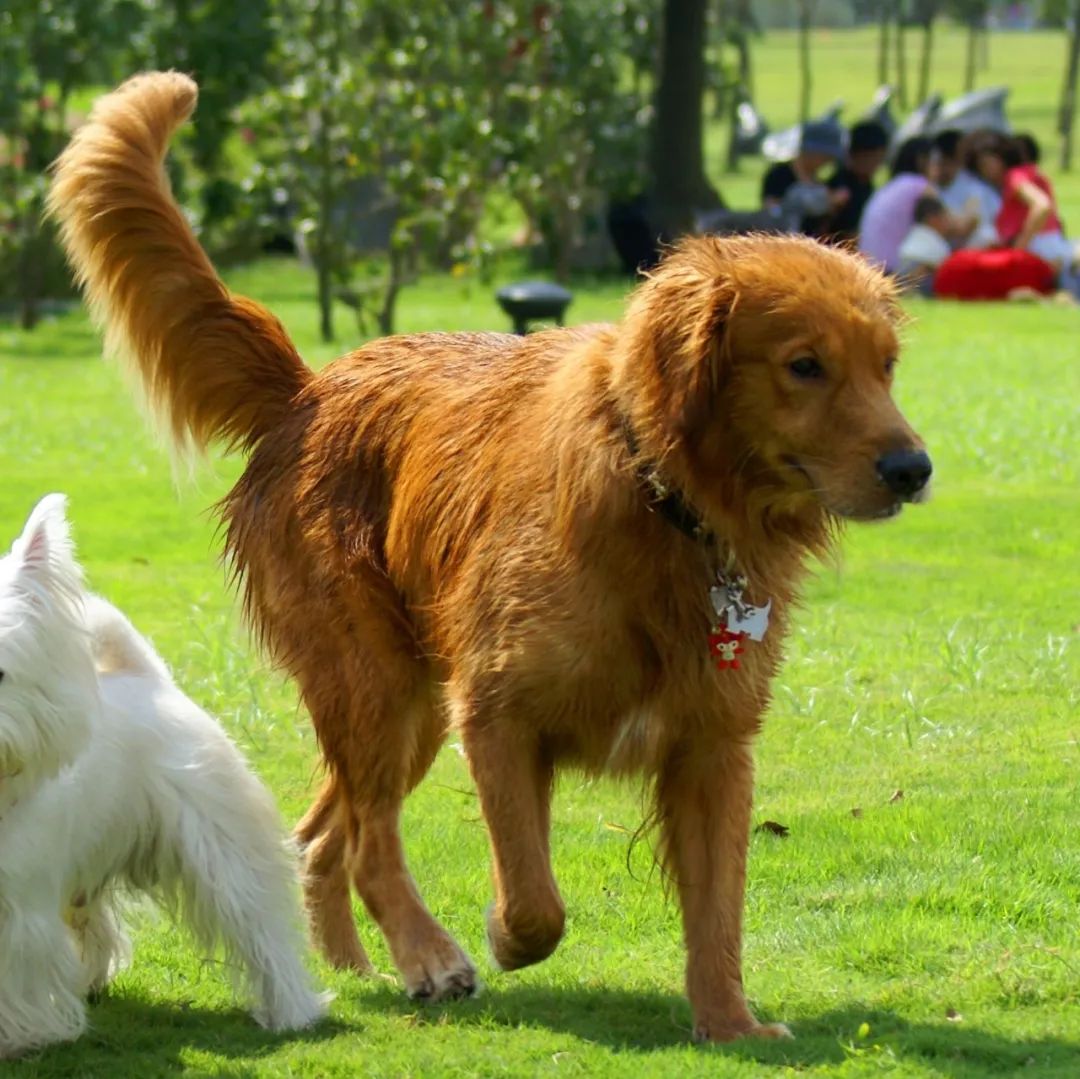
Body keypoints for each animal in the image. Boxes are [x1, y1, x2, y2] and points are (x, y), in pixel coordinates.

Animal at [0, 494, 328, 1054]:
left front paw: (22, 1036)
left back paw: (291, 1011)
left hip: (221, 845)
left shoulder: (18, 907)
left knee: (261, 926)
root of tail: (150, 679)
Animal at [48, 71, 928, 1041]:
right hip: (378, 685)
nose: (914, 468)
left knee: (324, 834)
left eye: (886, 365)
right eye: (804, 365)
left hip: (412, 709)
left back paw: (361, 965)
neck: (664, 500)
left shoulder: (713, 748)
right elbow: (537, 898)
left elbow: (717, 908)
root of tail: (309, 391)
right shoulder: (499, 713)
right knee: (370, 840)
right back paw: (428, 958)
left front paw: (730, 1022)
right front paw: (504, 938)